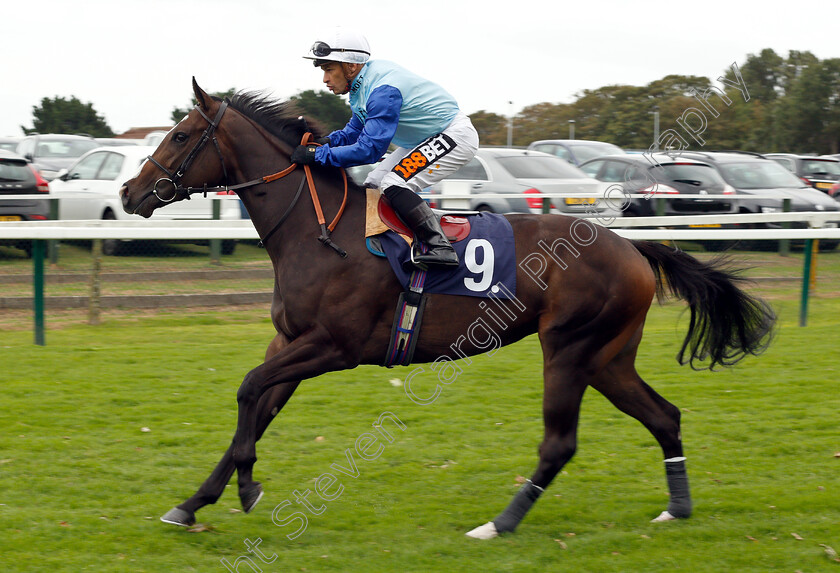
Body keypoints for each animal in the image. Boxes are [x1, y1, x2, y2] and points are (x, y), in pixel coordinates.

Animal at [118, 77, 776, 536]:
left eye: (180, 135)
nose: (129, 192)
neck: (315, 229)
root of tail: (632, 247)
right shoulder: (290, 341)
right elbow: (258, 405)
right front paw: (194, 503)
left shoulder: (333, 347)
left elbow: (250, 390)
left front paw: (245, 488)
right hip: (608, 356)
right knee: (665, 416)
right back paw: (677, 508)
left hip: (569, 348)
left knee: (560, 443)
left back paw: (499, 523)